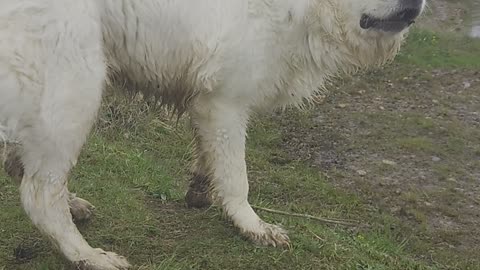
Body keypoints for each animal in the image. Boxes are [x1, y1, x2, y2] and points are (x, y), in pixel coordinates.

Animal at [0, 0, 424, 268]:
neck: (303, 10)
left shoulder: (207, 104)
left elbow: (210, 159)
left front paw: (201, 190)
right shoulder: (225, 102)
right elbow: (237, 177)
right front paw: (251, 225)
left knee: (25, 169)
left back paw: (73, 207)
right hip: (75, 88)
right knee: (40, 193)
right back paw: (87, 255)